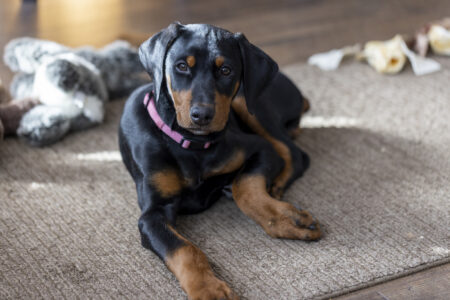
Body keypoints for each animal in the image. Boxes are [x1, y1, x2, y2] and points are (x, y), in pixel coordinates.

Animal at [118, 22, 322, 298]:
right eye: (181, 66)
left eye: (226, 70)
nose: (202, 115)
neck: (191, 145)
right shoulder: (152, 214)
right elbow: (183, 249)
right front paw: (208, 289)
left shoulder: (259, 149)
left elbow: (245, 187)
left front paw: (288, 220)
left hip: (247, 101)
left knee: (295, 153)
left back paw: (275, 188)